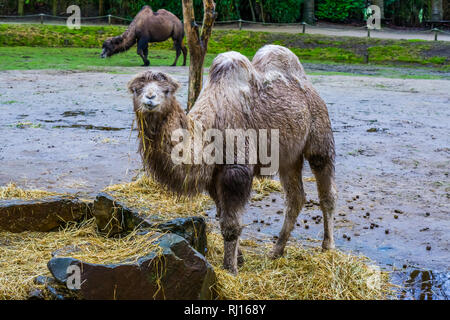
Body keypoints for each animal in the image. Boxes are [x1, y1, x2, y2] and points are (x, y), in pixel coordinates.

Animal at [128, 45, 336, 276]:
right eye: (136, 89)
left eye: (167, 91)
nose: (150, 99)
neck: (208, 130)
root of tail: (307, 84)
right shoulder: (213, 175)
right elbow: (222, 215)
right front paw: (240, 259)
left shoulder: (236, 169)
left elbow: (230, 225)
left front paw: (230, 269)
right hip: (288, 156)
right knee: (295, 197)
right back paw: (276, 251)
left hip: (319, 132)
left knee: (326, 189)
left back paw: (327, 247)